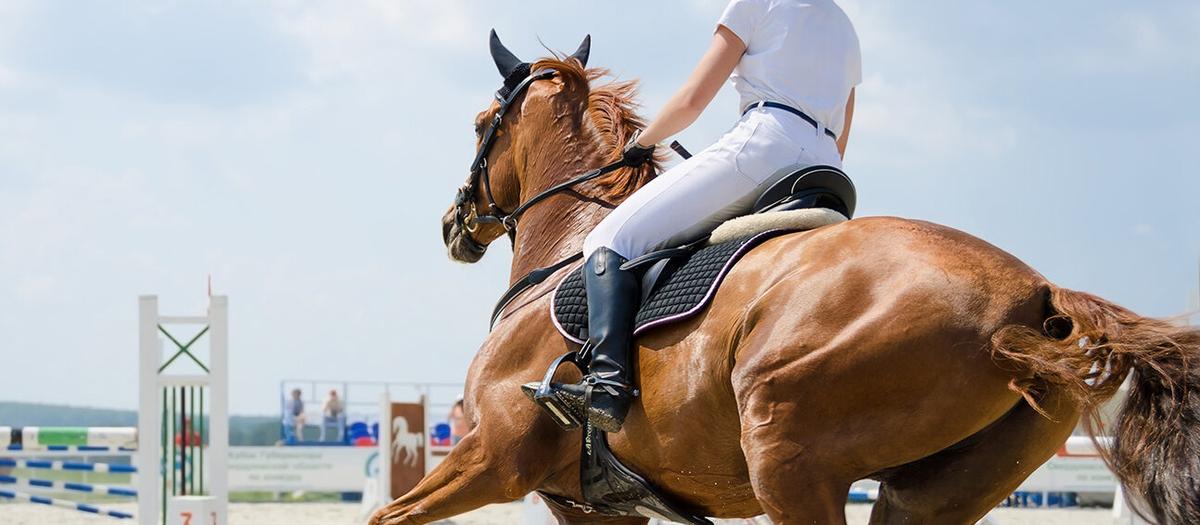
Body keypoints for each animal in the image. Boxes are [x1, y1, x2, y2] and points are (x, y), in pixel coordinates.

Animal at [369, 34, 1195, 522]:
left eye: (483, 125)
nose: (454, 224)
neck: (569, 245)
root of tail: (1035, 295)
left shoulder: (491, 456)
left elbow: (386, 514)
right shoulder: (587, 503)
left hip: (788, 458)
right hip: (929, 491)